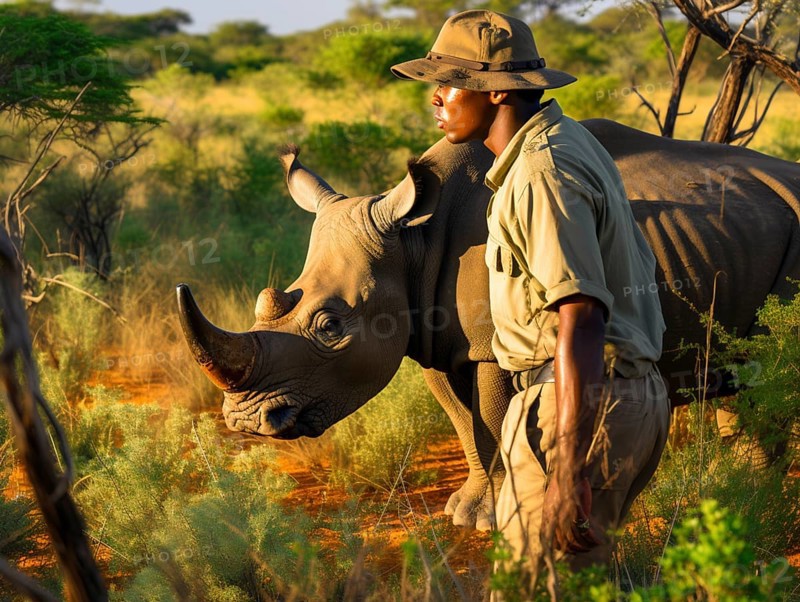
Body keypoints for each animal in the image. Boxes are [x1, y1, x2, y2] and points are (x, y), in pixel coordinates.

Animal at [177, 120, 800, 531]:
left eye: (330, 326)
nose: (246, 421)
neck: (413, 241)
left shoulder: (493, 343)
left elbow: (495, 417)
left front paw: (495, 518)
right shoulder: (426, 334)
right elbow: (461, 420)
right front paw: (465, 512)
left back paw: (753, 489)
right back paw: (736, 482)